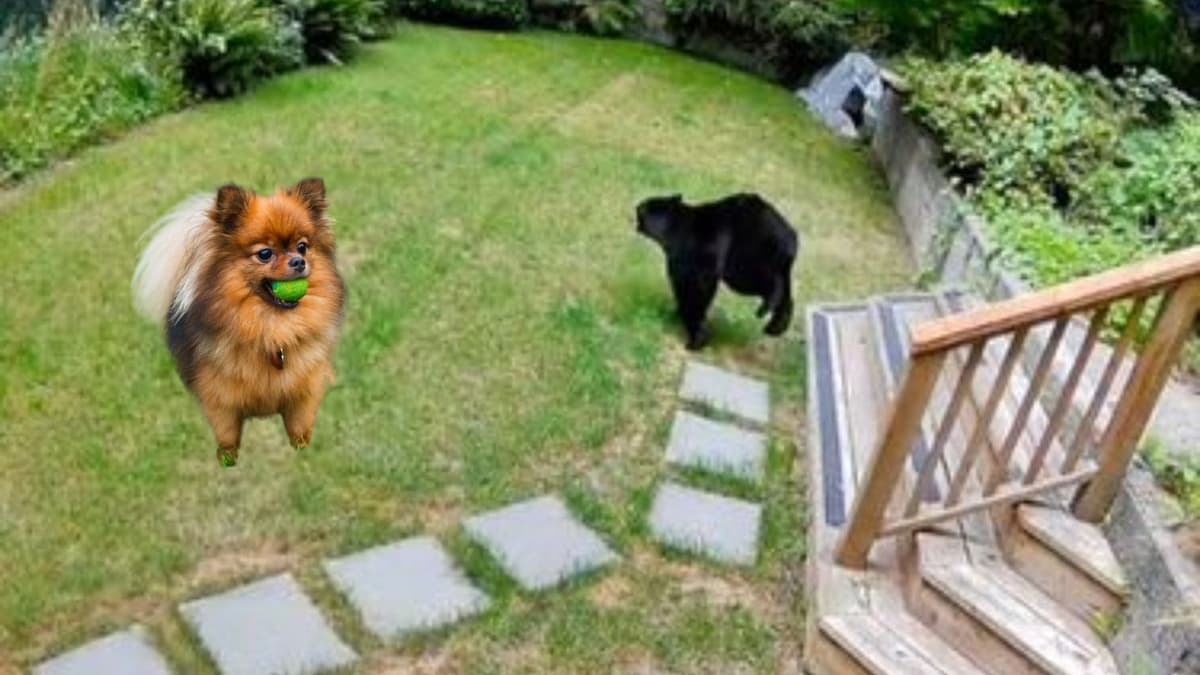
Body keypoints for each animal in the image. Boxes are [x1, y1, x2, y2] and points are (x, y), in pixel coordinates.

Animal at [636, 193, 799, 350]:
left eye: (644, 207)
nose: (637, 206)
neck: (675, 231)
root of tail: (791, 240)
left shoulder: (696, 262)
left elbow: (693, 295)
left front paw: (696, 339)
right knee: (786, 295)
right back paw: (775, 327)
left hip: (747, 259)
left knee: (774, 284)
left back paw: (766, 310)